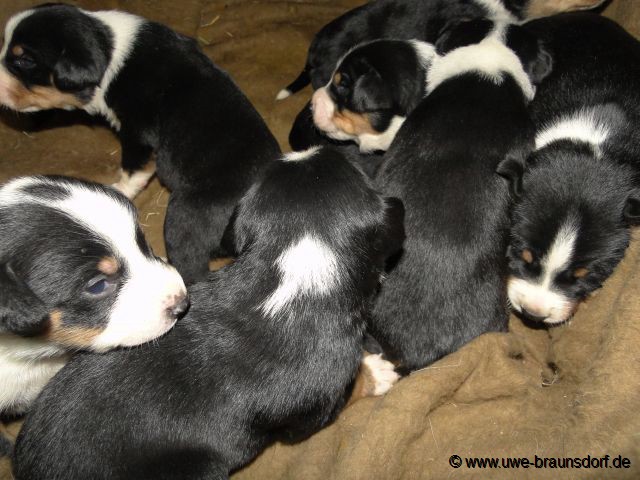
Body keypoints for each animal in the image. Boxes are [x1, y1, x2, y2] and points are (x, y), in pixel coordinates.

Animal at [0, 4, 280, 284]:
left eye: (25, 61)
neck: (108, 49)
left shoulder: (136, 133)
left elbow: (133, 170)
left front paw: (120, 189)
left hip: (185, 215)